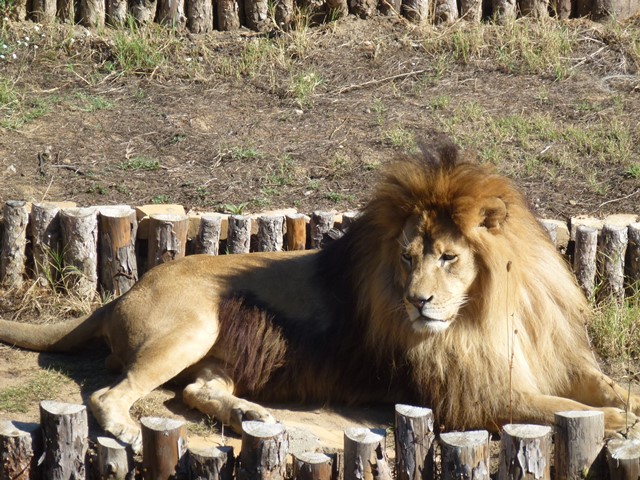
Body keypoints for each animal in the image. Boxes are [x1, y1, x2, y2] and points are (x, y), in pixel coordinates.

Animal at [0, 137, 638, 452]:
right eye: (406, 258)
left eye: (448, 258)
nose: (417, 303)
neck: (492, 307)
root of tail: (125, 291)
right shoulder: (478, 395)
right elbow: (574, 410)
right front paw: (614, 422)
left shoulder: (541, 356)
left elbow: (608, 390)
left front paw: (622, 401)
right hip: (191, 328)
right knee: (109, 394)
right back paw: (129, 429)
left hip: (213, 354)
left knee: (201, 392)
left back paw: (253, 413)